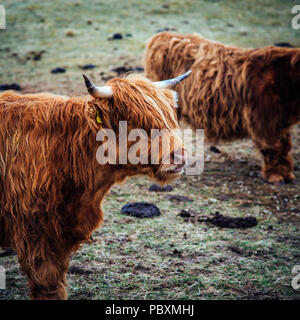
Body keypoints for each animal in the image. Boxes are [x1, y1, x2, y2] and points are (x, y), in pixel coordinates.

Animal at [145, 31, 300, 185]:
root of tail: (163, 35)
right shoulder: (265, 121)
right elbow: (275, 147)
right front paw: (276, 176)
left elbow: (283, 146)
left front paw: (287, 175)